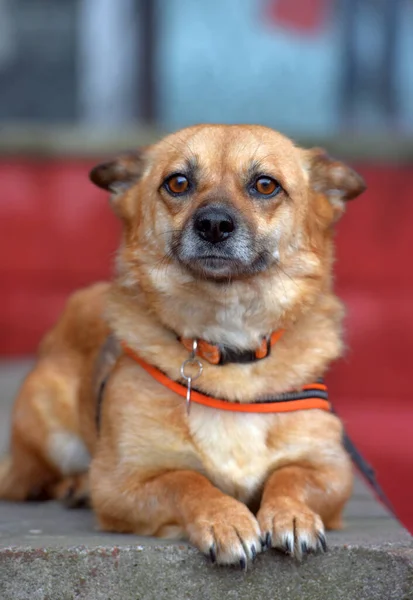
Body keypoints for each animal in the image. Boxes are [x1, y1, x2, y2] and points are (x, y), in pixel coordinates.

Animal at [0, 124, 366, 564]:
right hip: (51, 435)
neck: (228, 348)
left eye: (265, 185)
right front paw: (225, 519)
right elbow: (186, 480)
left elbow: (290, 474)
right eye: (178, 183)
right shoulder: (124, 483)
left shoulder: (331, 469)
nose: (214, 224)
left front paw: (290, 514)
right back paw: (76, 485)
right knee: (39, 482)